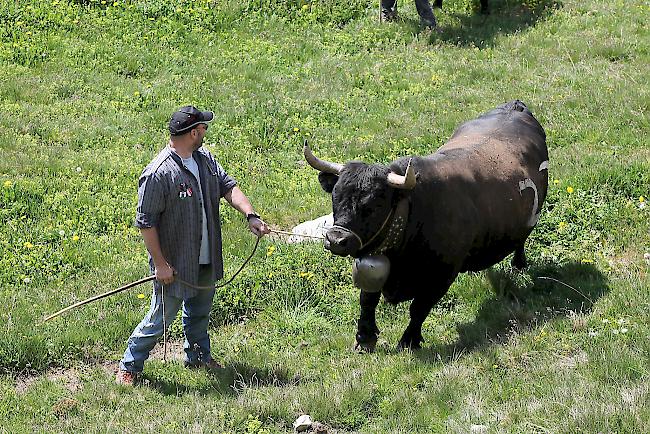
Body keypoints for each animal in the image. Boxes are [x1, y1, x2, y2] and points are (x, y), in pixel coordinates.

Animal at [304, 100, 548, 350]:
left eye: (375, 203)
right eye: (335, 196)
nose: (336, 239)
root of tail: (515, 106)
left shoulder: (442, 275)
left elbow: (419, 309)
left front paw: (409, 341)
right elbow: (367, 300)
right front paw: (365, 338)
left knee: (521, 241)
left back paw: (519, 265)